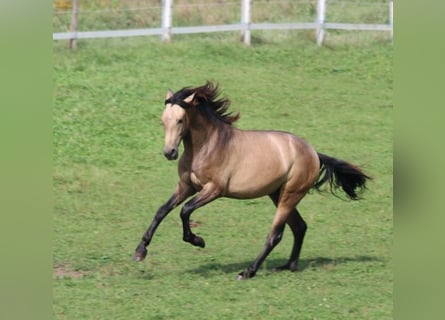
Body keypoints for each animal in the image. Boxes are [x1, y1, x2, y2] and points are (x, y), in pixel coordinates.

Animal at [134, 81, 370, 278]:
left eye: (180, 120)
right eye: (163, 121)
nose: (169, 152)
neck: (207, 146)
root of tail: (313, 153)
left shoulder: (214, 189)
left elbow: (185, 211)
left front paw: (198, 241)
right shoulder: (186, 186)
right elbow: (162, 211)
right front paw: (140, 251)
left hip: (290, 195)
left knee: (276, 234)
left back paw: (248, 271)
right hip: (278, 194)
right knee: (299, 227)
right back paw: (288, 266)